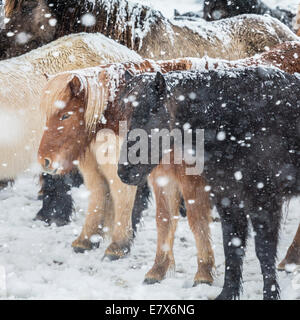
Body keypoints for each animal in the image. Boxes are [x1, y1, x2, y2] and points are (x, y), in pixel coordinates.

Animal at [118, 68, 300, 300]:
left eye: (151, 112)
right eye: (124, 114)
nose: (124, 171)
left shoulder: (264, 202)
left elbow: (264, 251)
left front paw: (270, 294)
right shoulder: (227, 198)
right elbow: (233, 247)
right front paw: (227, 293)